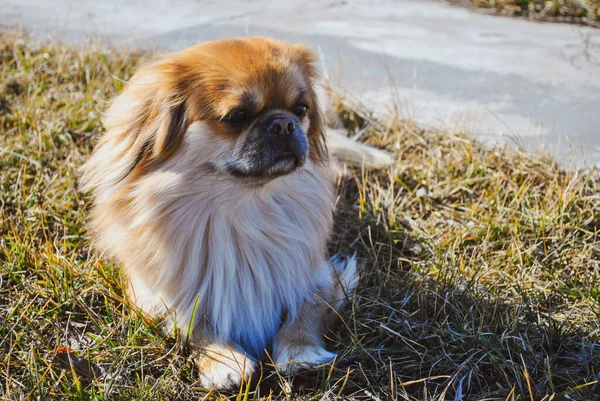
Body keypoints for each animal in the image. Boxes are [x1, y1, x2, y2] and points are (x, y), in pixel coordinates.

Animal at [79, 37, 390, 388]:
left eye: (301, 109)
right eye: (237, 115)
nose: (284, 123)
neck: (244, 206)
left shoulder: (318, 274)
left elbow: (305, 307)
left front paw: (300, 353)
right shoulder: (153, 292)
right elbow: (191, 319)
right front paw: (222, 361)